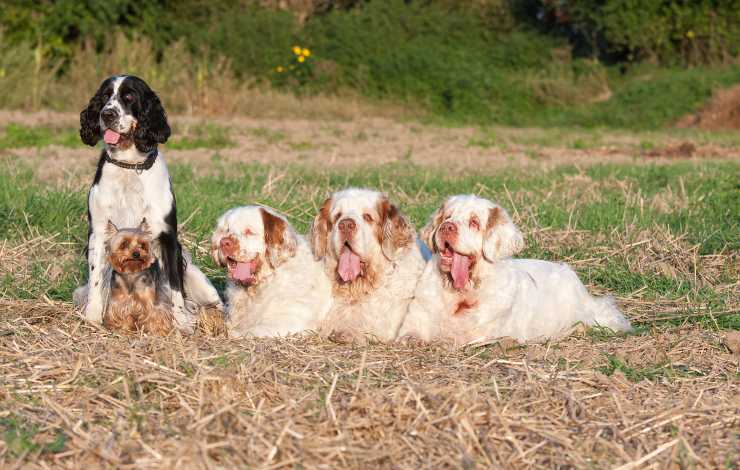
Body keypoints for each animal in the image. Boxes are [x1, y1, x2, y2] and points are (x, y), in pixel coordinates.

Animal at [398, 195, 632, 346]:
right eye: (447, 216)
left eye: (474, 222)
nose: (447, 227)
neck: (461, 294)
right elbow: (410, 333)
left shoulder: (484, 334)